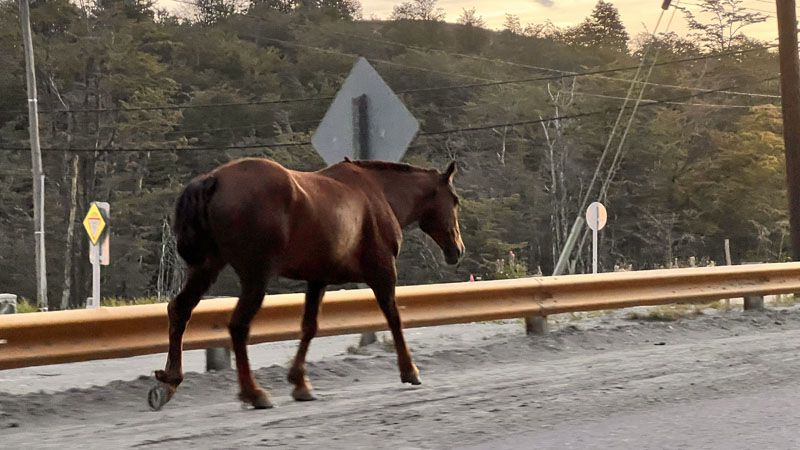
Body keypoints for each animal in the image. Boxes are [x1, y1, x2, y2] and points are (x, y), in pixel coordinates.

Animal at [148, 157, 465, 411]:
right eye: (454, 200)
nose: (457, 250)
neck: (379, 194)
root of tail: (213, 181)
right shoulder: (382, 272)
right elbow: (394, 318)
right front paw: (410, 370)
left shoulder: (317, 279)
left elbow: (309, 327)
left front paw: (300, 382)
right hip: (255, 276)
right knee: (238, 326)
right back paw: (254, 393)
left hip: (207, 267)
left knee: (180, 309)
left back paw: (169, 381)